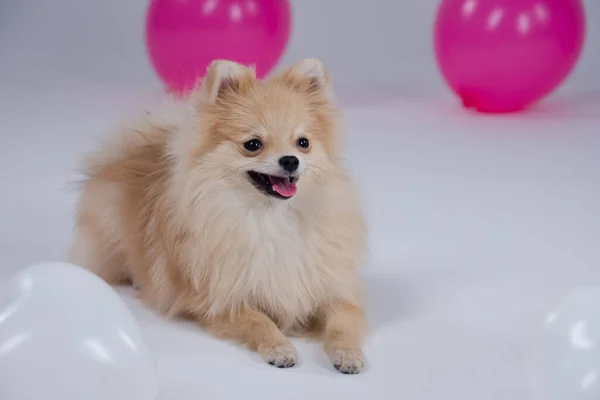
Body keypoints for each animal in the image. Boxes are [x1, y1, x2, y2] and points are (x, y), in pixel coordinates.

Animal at [71, 57, 370, 374]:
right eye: (253, 144)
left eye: (303, 143)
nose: (290, 160)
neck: (272, 217)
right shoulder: (219, 300)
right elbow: (259, 320)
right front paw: (279, 347)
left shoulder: (334, 291)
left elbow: (342, 323)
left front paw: (348, 354)